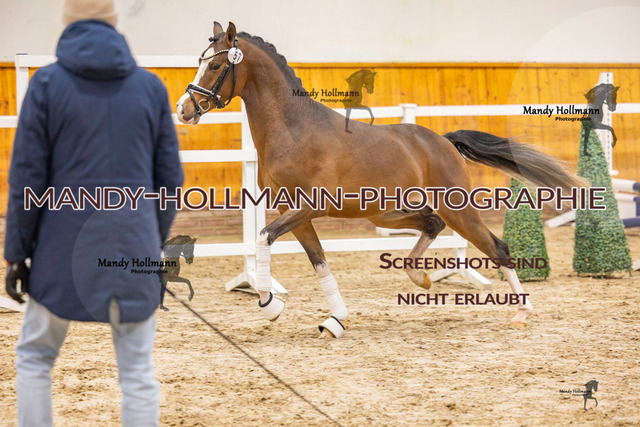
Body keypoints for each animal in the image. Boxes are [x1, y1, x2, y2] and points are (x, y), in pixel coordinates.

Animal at [176, 22, 585, 338]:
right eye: (200, 62)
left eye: (215, 65)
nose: (184, 109)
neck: (295, 131)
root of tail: (442, 141)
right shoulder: (296, 214)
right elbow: (319, 261)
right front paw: (335, 321)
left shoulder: (309, 208)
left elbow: (263, 237)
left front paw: (269, 304)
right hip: (387, 214)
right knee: (432, 225)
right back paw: (421, 279)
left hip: (457, 209)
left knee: (496, 247)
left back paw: (521, 312)